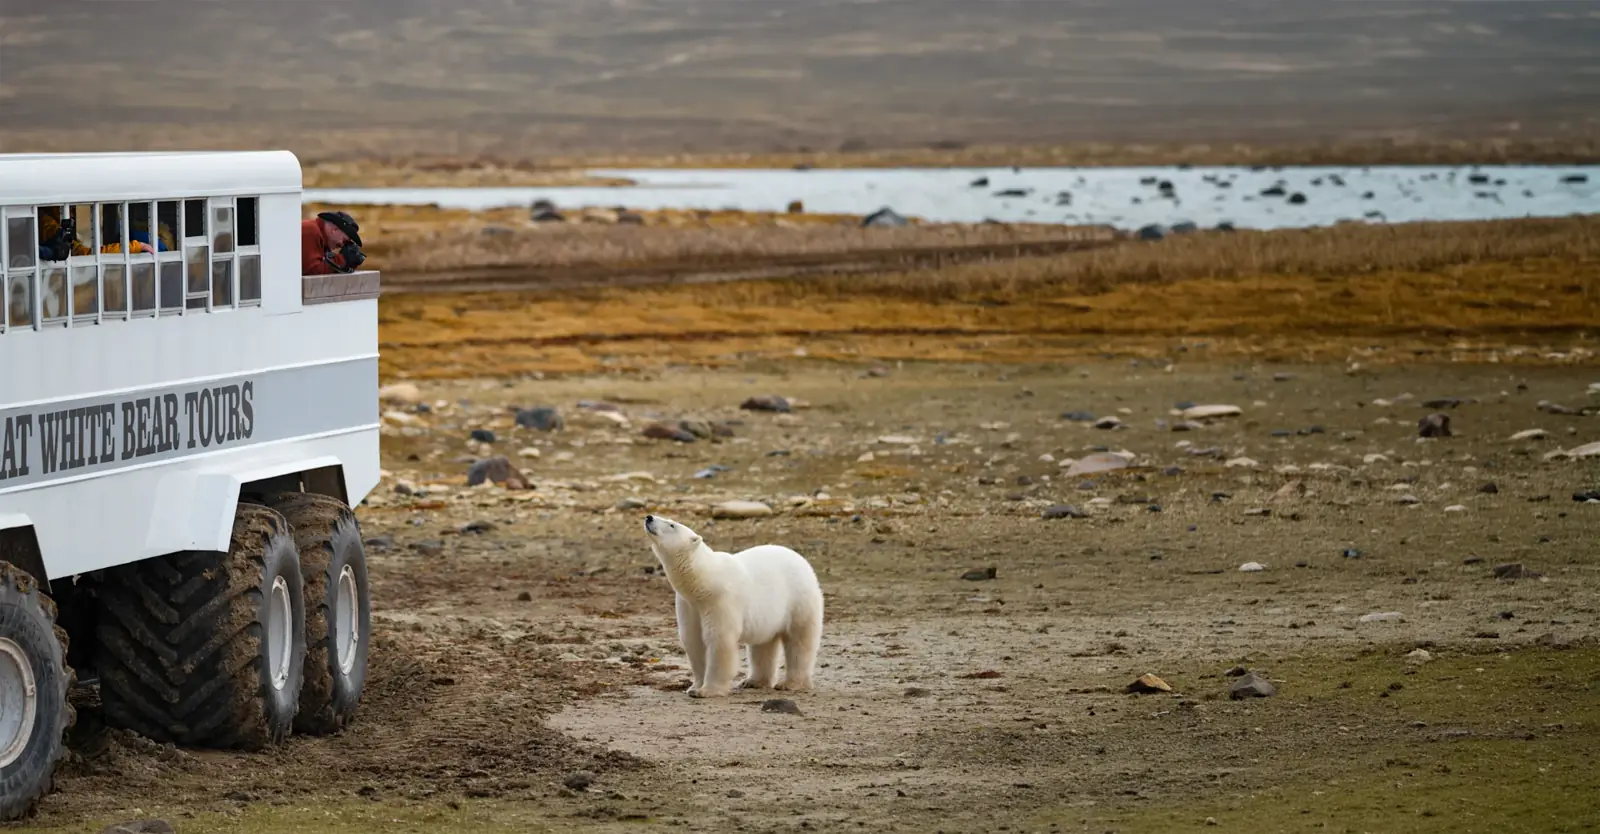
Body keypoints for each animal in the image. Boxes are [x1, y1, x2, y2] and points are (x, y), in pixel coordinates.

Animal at [642, 514, 824, 698]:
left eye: (672, 525)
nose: (649, 517)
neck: (704, 581)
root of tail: (803, 561)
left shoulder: (720, 600)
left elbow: (719, 640)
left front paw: (706, 691)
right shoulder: (688, 605)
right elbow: (693, 640)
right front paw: (694, 687)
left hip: (799, 599)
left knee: (799, 641)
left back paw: (791, 684)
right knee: (763, 644)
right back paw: (754, 681)